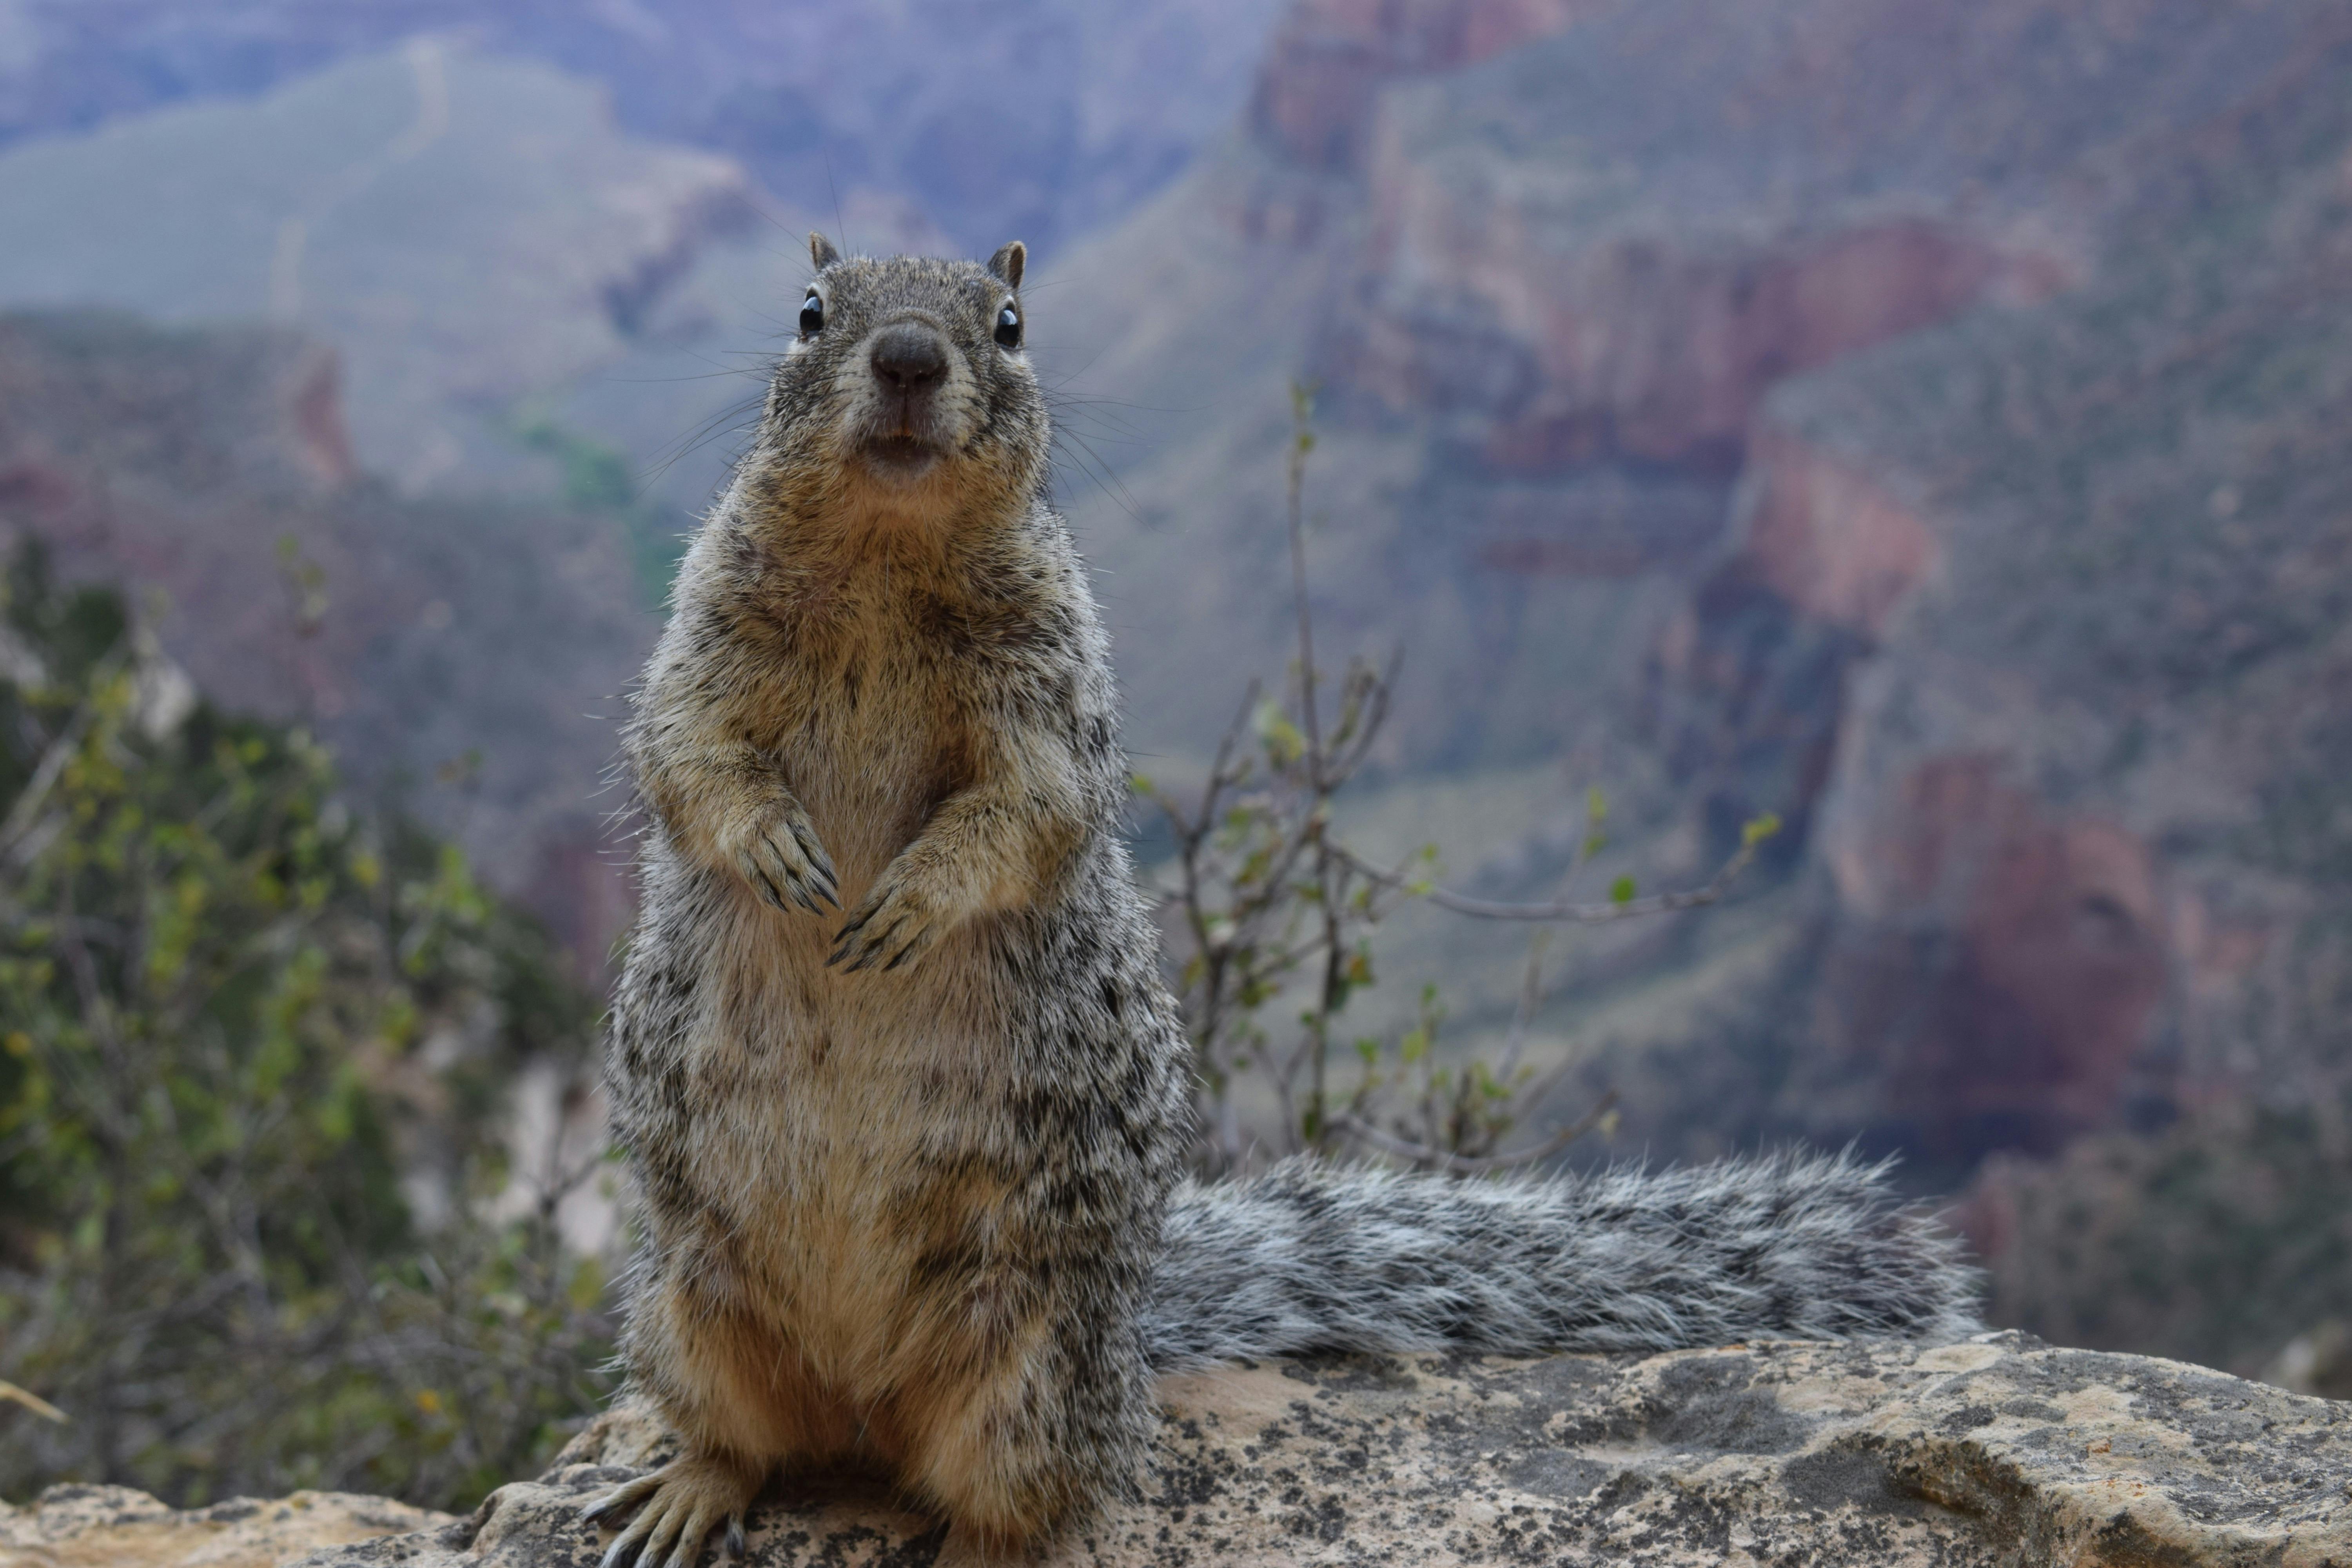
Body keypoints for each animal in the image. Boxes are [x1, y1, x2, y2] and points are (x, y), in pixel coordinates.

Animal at [579, 236, 1976, 1568]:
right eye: (811, 310)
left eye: (1012, 322)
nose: (912, 358)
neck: (885, 545)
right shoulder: (704, 634)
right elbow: (685, 751)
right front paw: (774, 849)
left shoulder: (1051, 691)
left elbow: (1030, 811)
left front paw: (912, 901)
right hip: (683, 1306)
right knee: (747, 1443)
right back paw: (688, 1492)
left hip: (1029, 1368)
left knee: (1031, 1498)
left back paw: (972, 1542)